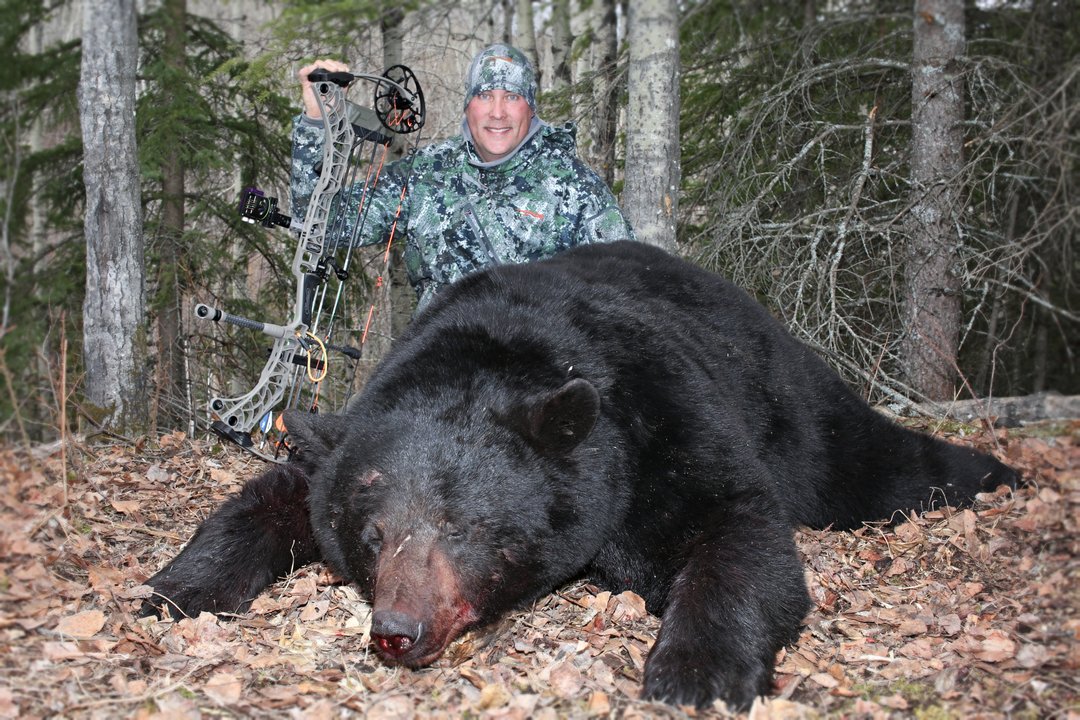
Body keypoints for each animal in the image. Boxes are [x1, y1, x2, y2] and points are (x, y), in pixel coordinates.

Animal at [141, 240, 1018, 711]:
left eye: (463, 524)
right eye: (372, 535)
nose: (397, 630)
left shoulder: (657, 421)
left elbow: (737, 527)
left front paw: (692, 671)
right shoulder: (350, 435)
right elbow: (274, 495)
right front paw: (174, 588)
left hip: (791, 406)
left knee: (872, 463)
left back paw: (996, 472)